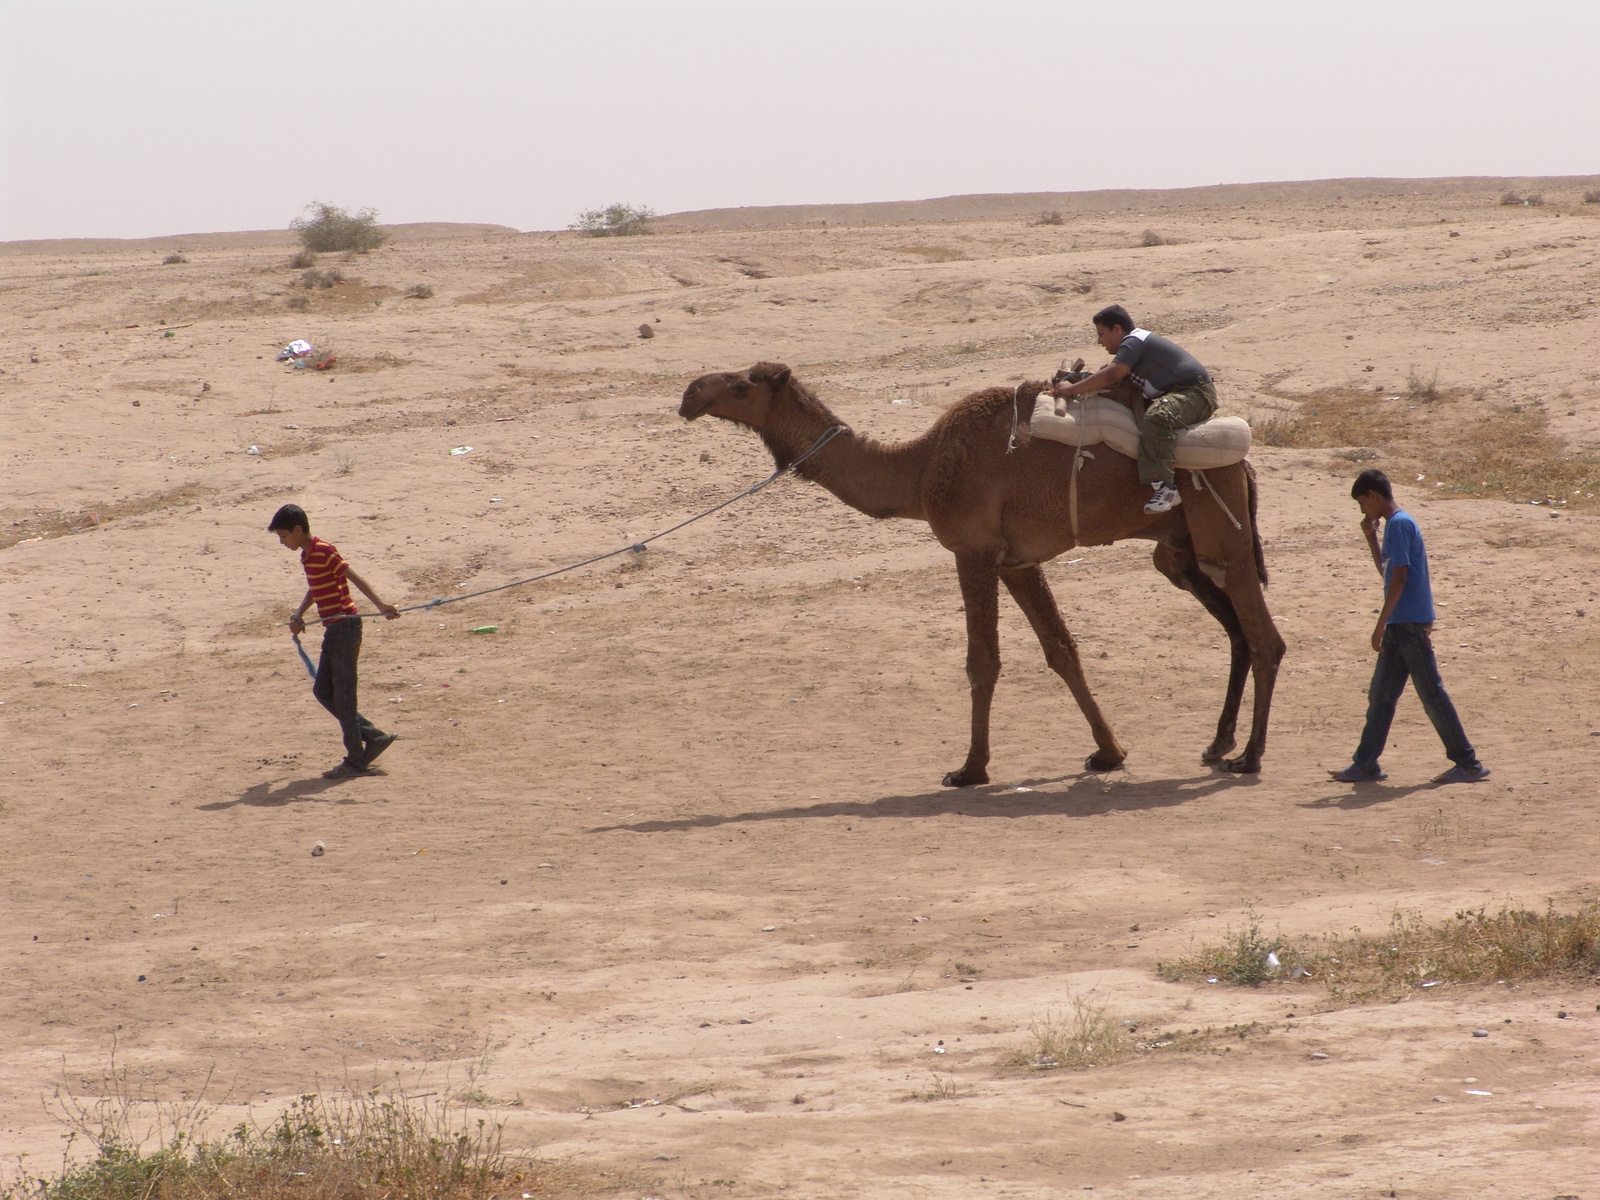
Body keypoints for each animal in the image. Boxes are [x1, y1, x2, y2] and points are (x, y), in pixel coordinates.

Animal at [675, 361, 1286, 784]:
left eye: (742, 385)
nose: (689, 395)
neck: (919, 467)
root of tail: (1245, 464)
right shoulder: (1017, 561)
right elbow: (1062, 651)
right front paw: (1109, 753)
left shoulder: (972, 549)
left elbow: (982, 662)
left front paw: (970, 768)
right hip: (1180, 551)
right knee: (1237, 631)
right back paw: (1219, 744)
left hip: (1222, 527)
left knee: (1264, 639)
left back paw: (1250, 757)